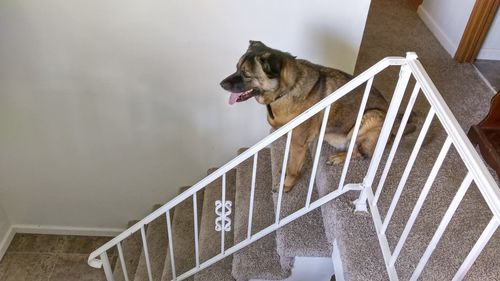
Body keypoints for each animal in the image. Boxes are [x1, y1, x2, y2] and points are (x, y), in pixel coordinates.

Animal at [223, 40, 390, 191]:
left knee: (359, 154)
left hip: (370, 117)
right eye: (236, 68)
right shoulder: (291, 139)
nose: (221, 84)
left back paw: (339, 157)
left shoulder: (298, 143)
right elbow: (291, 162)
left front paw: (287, 185)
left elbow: (293, 167)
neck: (286, 90)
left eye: (246, 74)